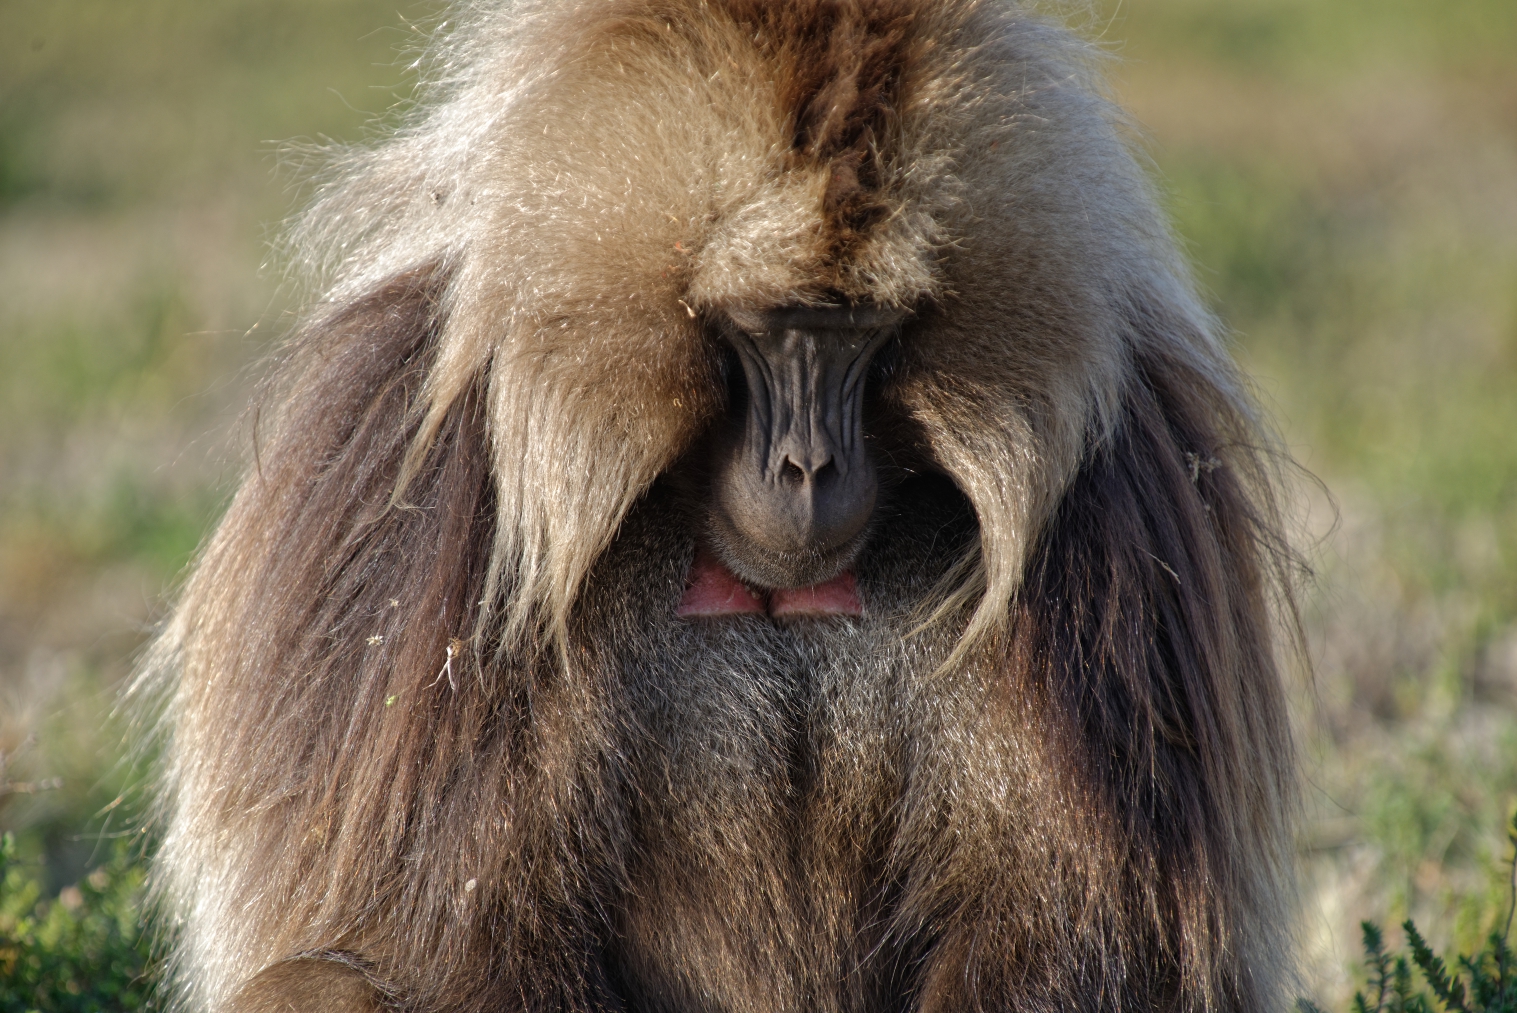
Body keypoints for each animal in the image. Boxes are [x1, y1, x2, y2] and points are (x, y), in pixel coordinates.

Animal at [138, 1, 1299, 1011]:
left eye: (857, 331)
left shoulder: (1123, 509)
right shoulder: (415, 507)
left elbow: (1082, 927)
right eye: (764, 326)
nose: (806, 469)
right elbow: (425, 946)